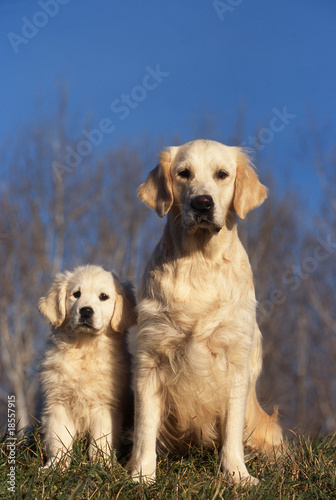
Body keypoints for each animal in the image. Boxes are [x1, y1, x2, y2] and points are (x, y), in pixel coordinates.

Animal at [40, 266, 137, 468]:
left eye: (103, 296)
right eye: (76, 294)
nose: (85, 311)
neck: (85, 348)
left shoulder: (105, 405)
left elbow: (101, 440)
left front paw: (102, 466)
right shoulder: (58, 402)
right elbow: (59, 438)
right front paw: (55, 467)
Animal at [130, 140, 282, 484]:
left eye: (222, 174)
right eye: (183, 173)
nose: (202, 202)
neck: (198, 261)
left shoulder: (235, 361)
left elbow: (232, 430)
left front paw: (237, 475)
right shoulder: (151, 358)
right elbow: (145, 428)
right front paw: (142, 475)